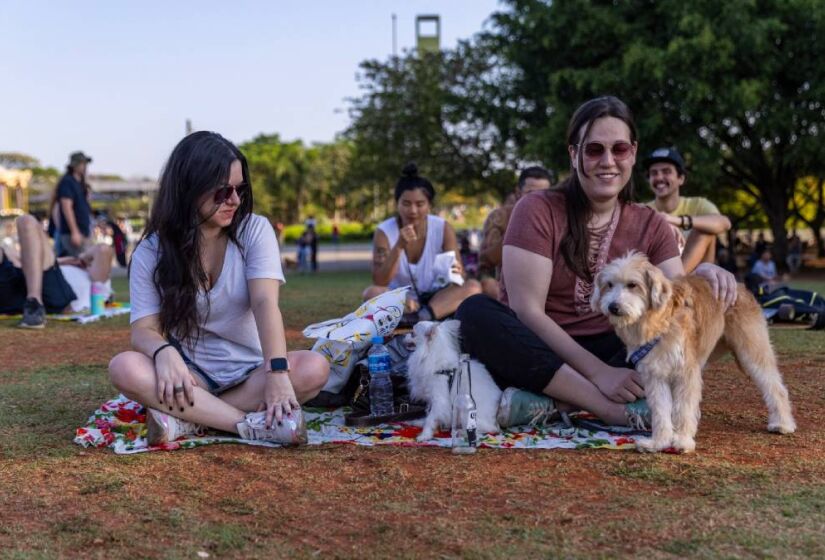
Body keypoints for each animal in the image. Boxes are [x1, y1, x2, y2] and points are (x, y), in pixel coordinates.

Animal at [588, 252, 796, 452]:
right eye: (609, 285)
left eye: (632, 285)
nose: (613, 307)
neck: (659, 322)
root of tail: (740, 285)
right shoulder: (655, 376)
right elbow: (661, 412)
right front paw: (659, 442)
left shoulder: (686, 373)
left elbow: (683, 409)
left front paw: (682, 440)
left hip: (753, 352)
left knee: (776, 387)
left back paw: (783, 424)